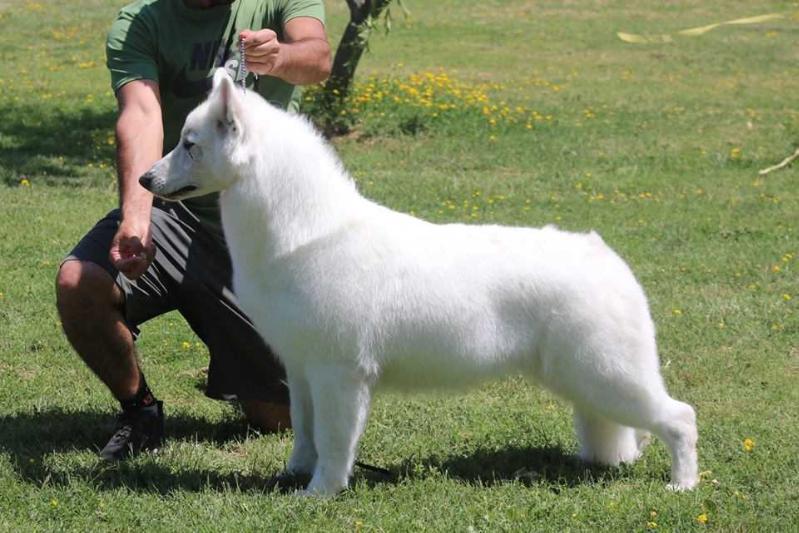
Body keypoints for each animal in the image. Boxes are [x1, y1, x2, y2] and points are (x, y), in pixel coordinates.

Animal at [142, 69, 700, 494]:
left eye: (190, 145)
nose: (145, 180)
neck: (304, 231)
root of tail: (604, 255)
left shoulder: (340, 376)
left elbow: (334, 442)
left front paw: (319, 492)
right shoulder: (300, 373)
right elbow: (305, 432)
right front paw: (295, 474)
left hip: (606, 375)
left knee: (680, 418)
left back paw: (682, 484)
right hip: (582, 379)